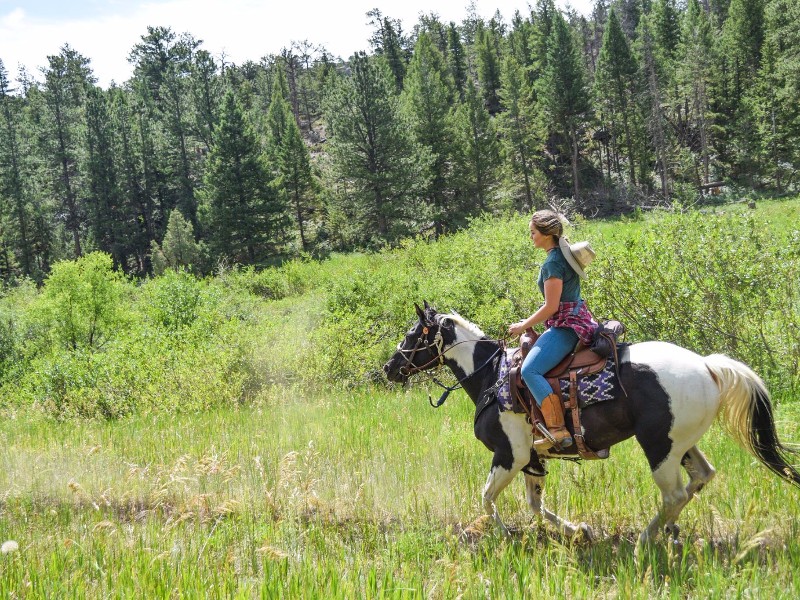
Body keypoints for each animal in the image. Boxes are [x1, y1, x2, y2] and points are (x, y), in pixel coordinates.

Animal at [382, 304, 800, 548]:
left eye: (413, 334)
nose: (389, 368)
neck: (490, 377)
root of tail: (708, 365)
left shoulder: (509, 454)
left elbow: (486, 498)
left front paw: (503, 534)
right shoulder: (532, 459)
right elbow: (535, 505)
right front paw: (577, 530)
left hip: (658, 448)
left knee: (675, 495)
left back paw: (644, 541)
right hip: (680, 444)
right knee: (701, 476)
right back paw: (670, 532)